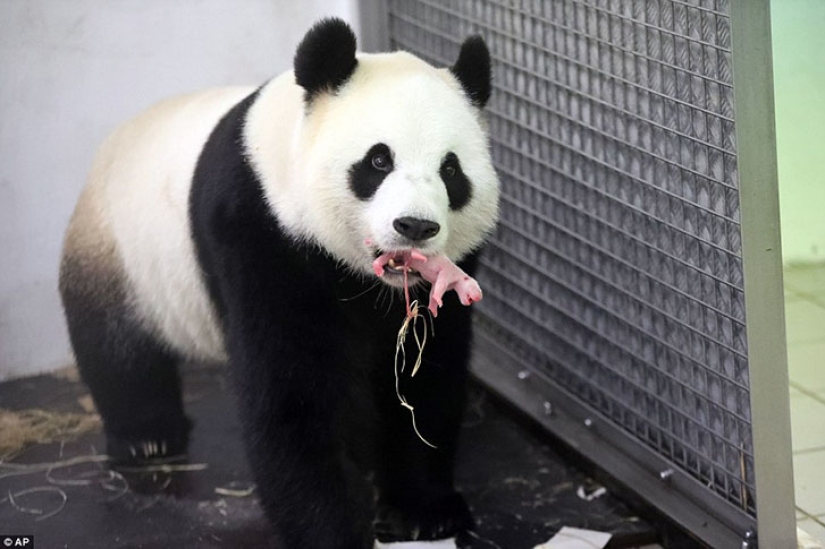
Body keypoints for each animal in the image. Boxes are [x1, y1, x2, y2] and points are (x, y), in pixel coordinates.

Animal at [59, 18, 499, 549]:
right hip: (119, 252)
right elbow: (294, 395)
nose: (414, 226)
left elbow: (427, 379)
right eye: (378, 161)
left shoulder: (450, 281)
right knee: (116, 348)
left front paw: (424, 511)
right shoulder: (262, 234)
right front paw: (333, 530)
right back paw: (147, 437)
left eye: (451, 170)